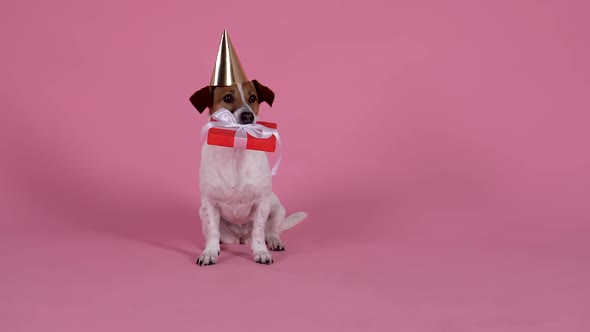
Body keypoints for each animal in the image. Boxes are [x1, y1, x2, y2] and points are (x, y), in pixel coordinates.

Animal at [191, 80, 310, 264]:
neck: (237, 148)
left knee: (271, 232)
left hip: (277, 209)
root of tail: (240, 238)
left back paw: (274, 241)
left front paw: (261, 252)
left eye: (252, 97)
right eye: (228, 97)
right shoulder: (209, 203)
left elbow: (258, 231)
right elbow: (212, 231)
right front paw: (209, 252)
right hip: (202, 212)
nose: (248, 116)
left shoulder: (262, 202)